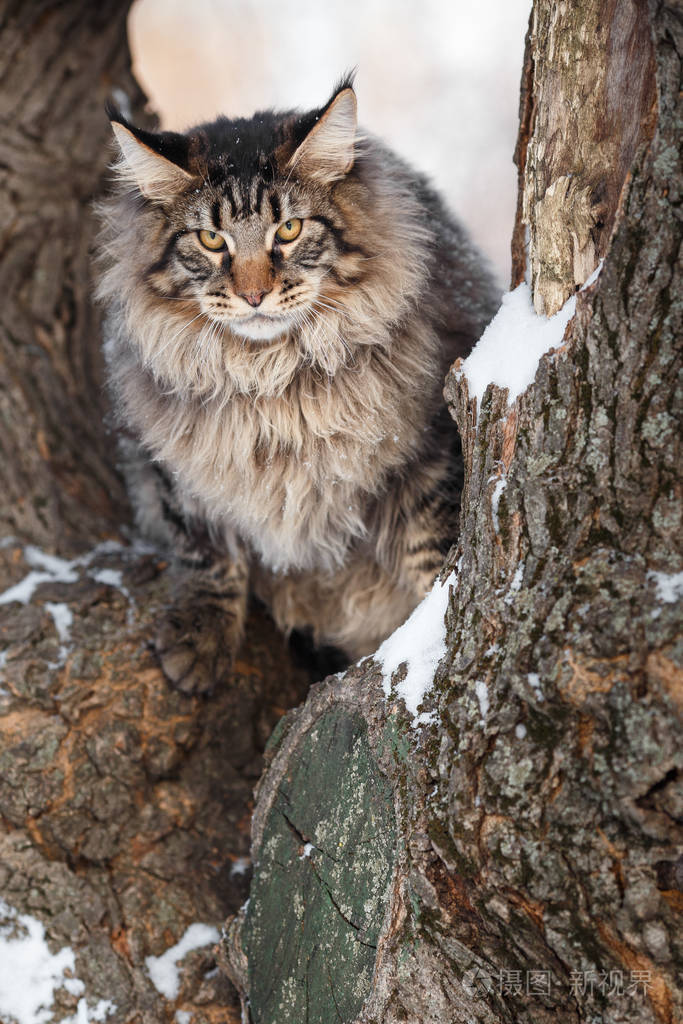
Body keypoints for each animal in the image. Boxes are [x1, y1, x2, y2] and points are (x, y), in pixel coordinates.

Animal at [96, 74, 499, 696]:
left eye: (288, 229)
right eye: (211, 240)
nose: (254, 294)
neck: (272, 381)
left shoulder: (429, 454)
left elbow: (434, 554)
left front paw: (433, 632)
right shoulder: (172, 460)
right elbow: (206, 553)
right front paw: (200, 637)